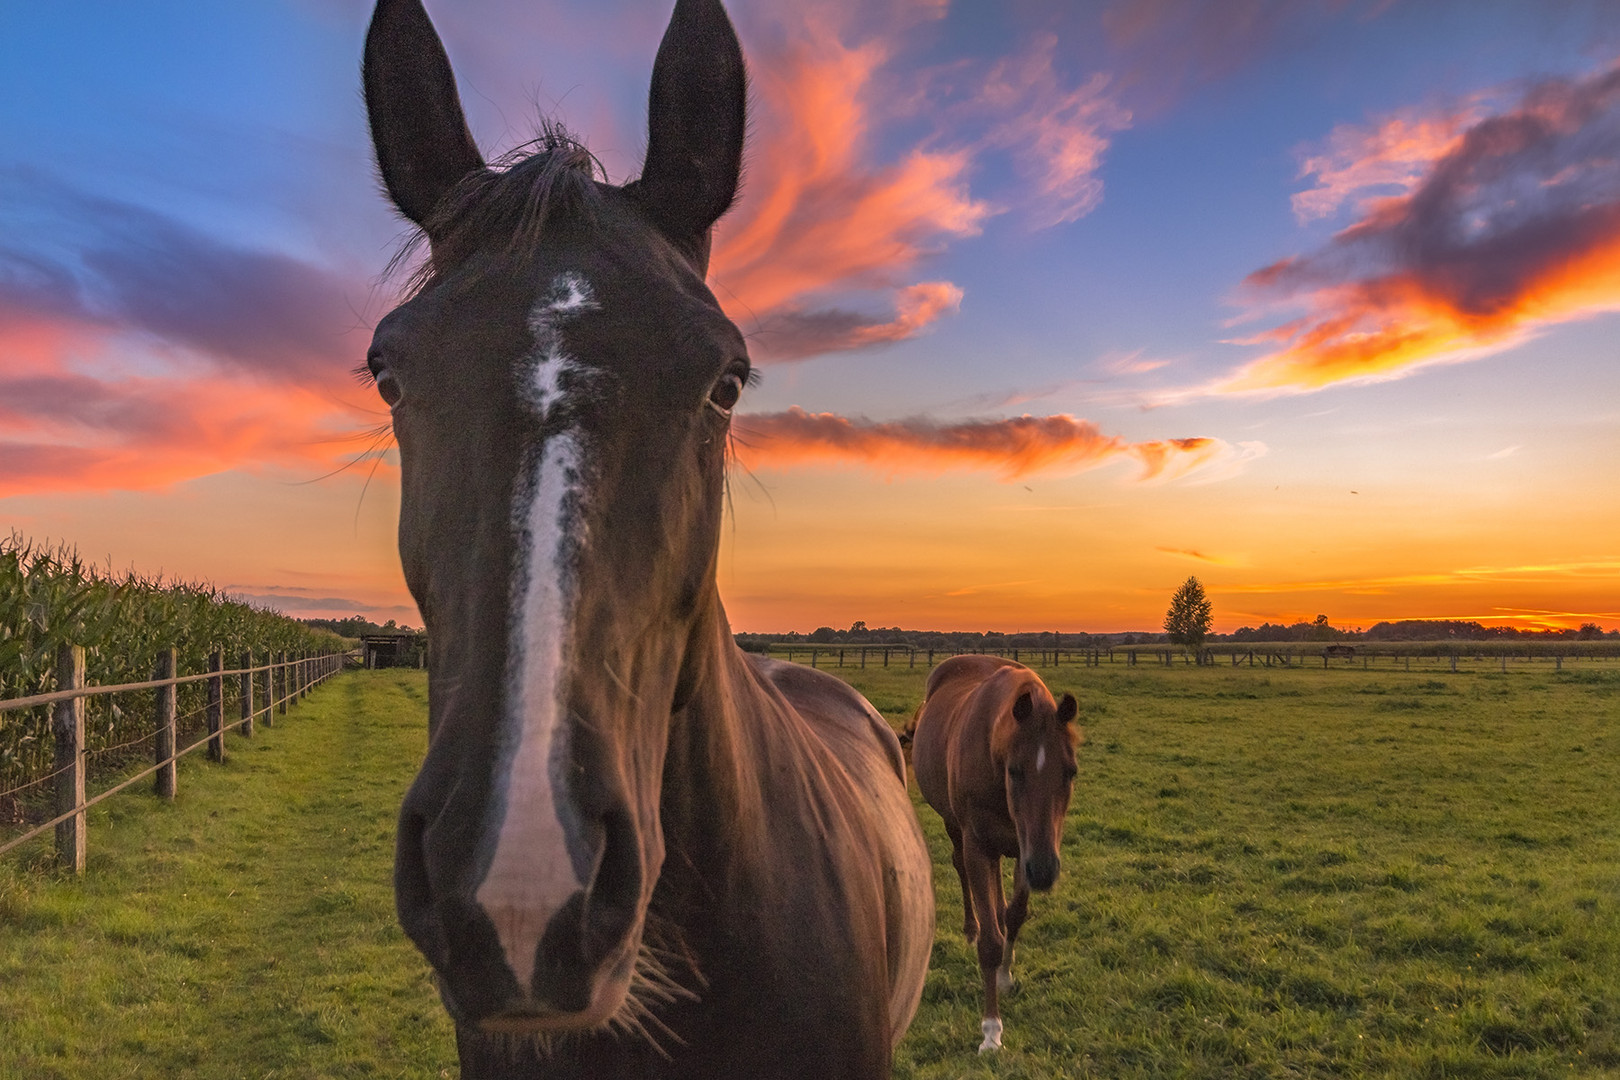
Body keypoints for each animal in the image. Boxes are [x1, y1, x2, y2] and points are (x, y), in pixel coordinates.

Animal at [913, 654, 1075, 1049]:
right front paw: (991, 1031)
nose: (1045, 871)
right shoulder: (980, 846)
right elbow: (989, 942)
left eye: (1070, 772)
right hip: (956, 828)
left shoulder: (1026, 847)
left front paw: (1005, 973)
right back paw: (970, 927)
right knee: (960, 869)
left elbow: (1014, 914)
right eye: (1014, 771)